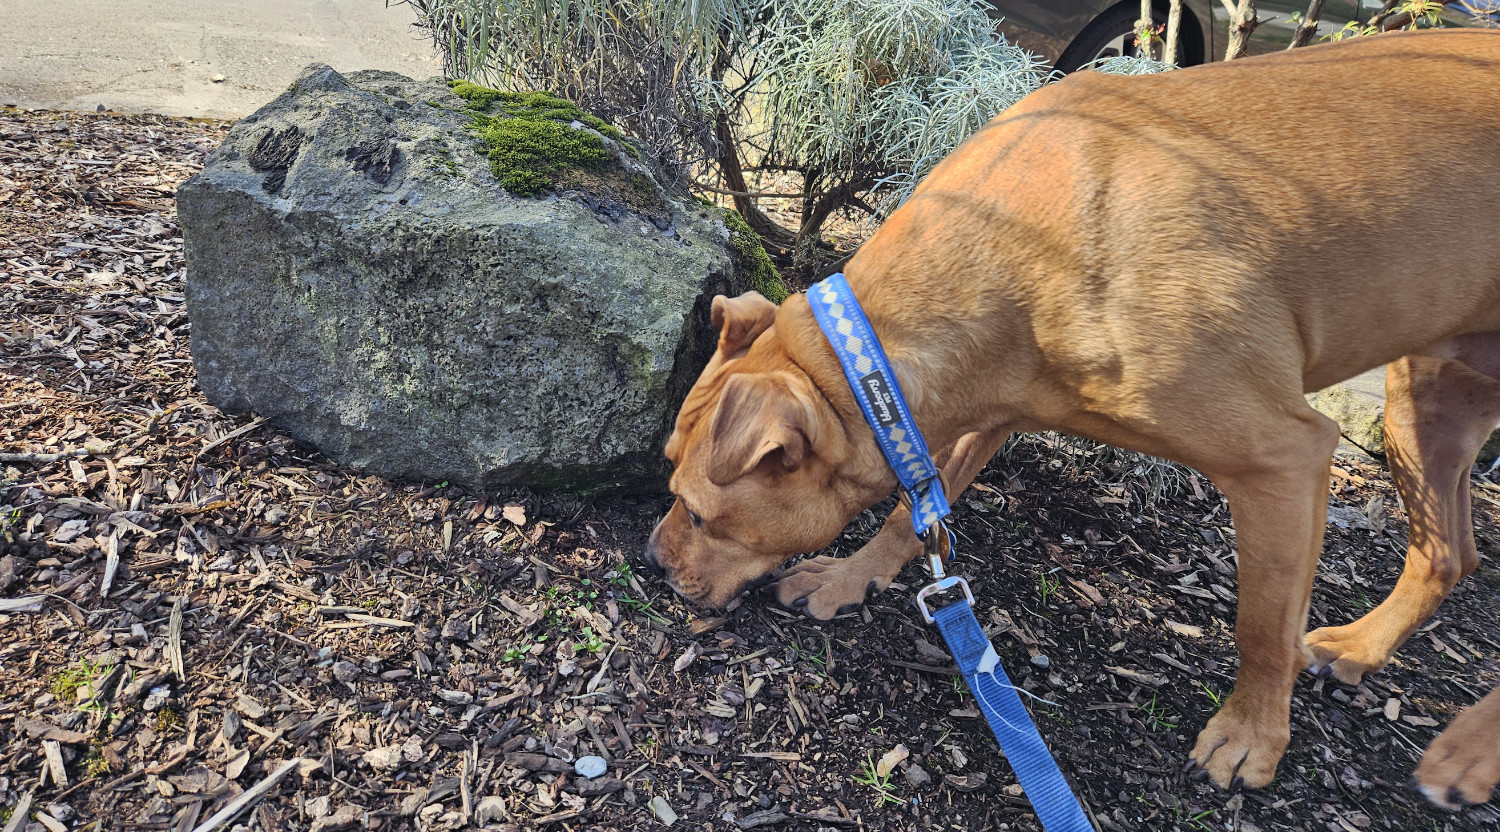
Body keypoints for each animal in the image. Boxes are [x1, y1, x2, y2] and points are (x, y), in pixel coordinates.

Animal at [645, 29, 1500, 803]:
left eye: (700, 514)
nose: (652, 559)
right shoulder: (973, 408)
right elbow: (908, 516)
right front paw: (851, 578)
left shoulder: (1286, 457)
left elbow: (1262, 625)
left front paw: (1252, 734)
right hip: (1428, 396)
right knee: (1449, 553)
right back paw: (1362, 647)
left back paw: (1467, 754)